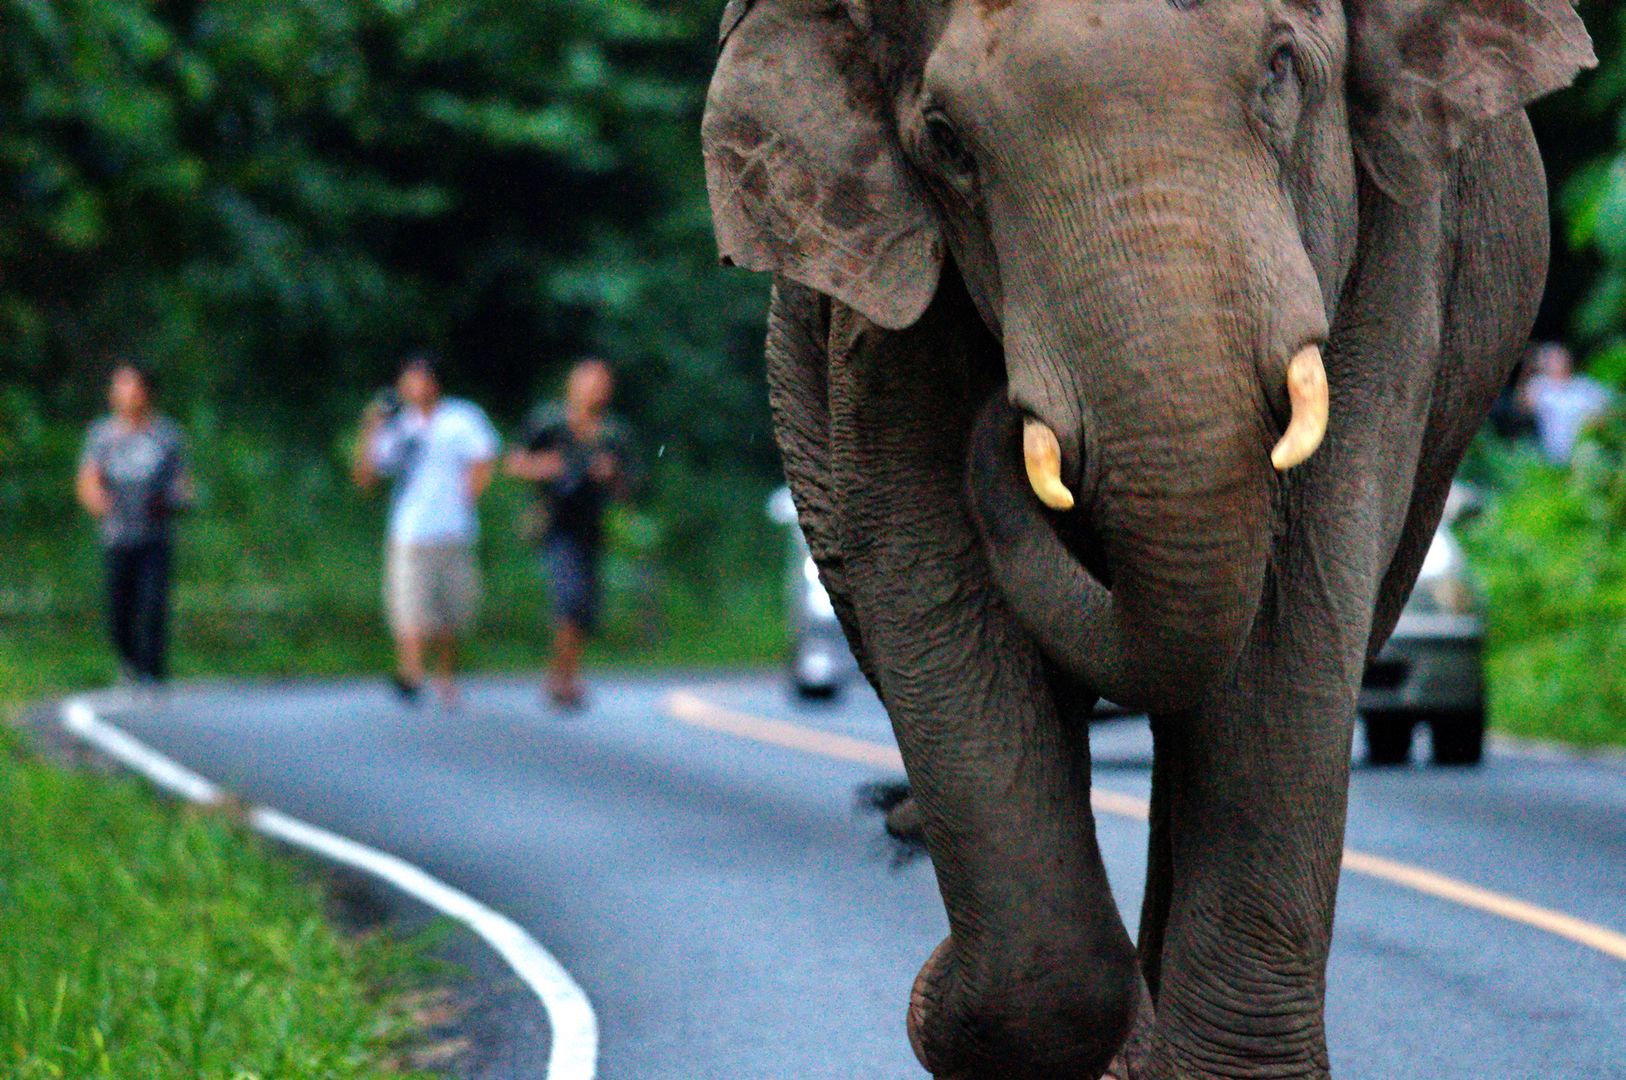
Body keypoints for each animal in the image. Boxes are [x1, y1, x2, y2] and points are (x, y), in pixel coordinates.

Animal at [705, 4, 1593, 1073]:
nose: (1011, 416)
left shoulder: (1399, 251)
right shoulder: (870, 323)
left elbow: (1296, 610)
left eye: (1281, 71)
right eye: (948, 143)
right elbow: (931, 586)